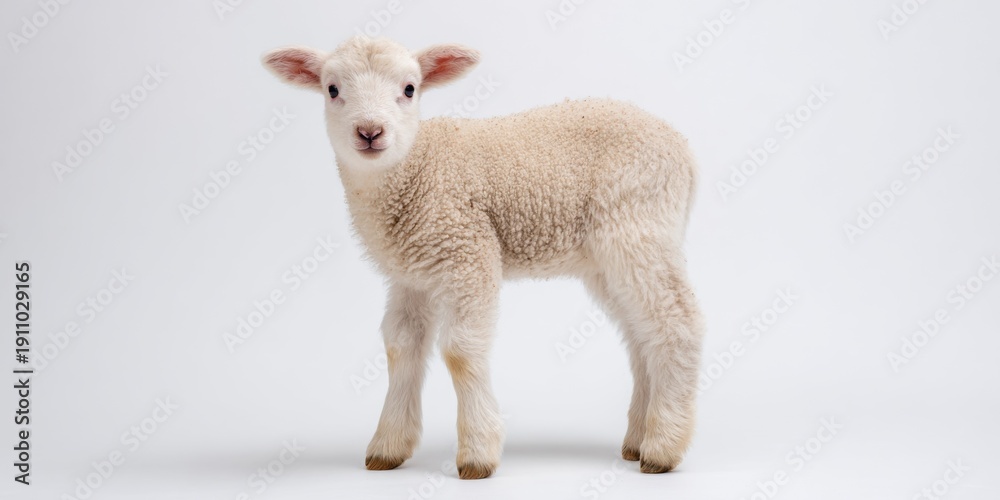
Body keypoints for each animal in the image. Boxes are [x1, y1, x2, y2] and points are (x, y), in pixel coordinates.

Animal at [262, 35, 705, 480]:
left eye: (410, 89)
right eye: (332, 90)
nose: (370, 132)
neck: (416, 168)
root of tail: (683, 150)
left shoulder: (468, 251)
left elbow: (460, 352)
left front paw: (477, 453)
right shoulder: (410, 275)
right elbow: (400, 347)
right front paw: (388, 447)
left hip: (638, 226)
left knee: (676, 323)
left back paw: (663, 447)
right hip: (607, 258)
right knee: (641, 336)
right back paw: (637, 439)